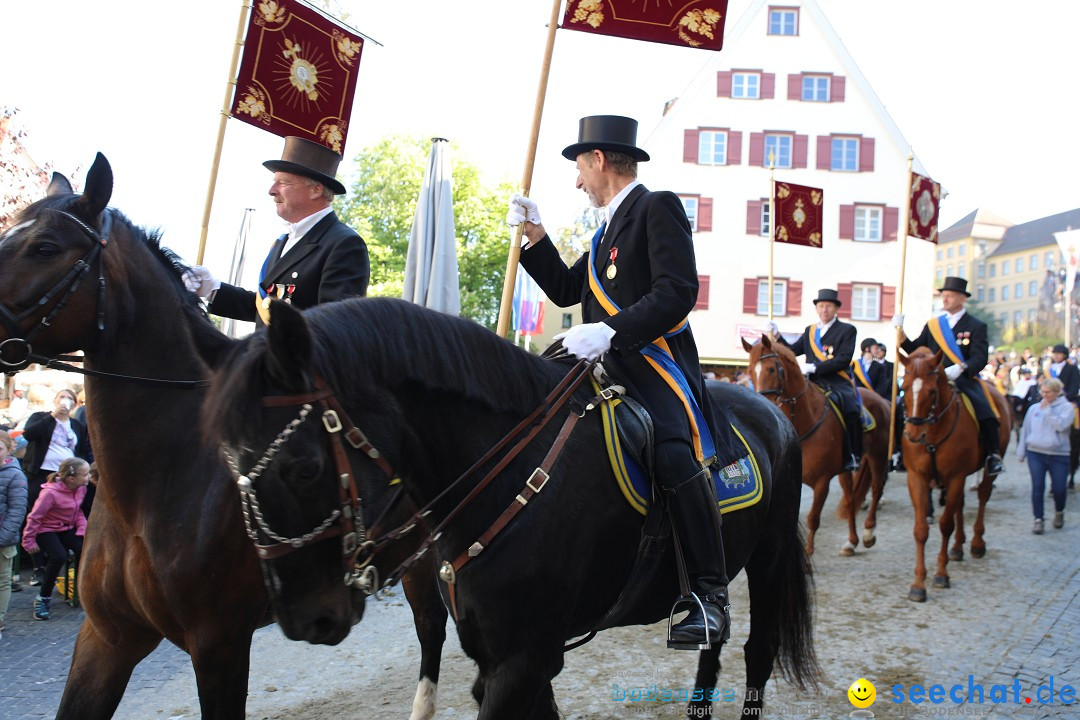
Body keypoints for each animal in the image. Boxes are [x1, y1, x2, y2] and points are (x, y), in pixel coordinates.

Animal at [198, 297, 819, 718]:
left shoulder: (525, 658)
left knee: (757, 651)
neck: (508, 470)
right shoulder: (496, 654)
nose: (305, 620)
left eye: (303, 467)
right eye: (225, 463)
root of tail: (772, 413)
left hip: (767, 562)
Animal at [743, 334, 891, 556]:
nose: (760, 401)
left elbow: (813, 518)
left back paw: (868, 533)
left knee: (876, 488)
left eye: (771, 369)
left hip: (878, 454)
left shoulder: (822, 482)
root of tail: (881, 400)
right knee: (850, 499)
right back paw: (851, 542)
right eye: (751, 370)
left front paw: (809, 550)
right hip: (846, 468)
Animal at [898, 348, 1011, 602]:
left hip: (987, 468)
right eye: (904, 387)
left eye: (932, 391)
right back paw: (958, 548)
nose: (913, 434)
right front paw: (918, 584)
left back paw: (977, 543)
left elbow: (945, 525)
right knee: (959, 504)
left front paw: (941, 574)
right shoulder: (917, 478)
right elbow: (921, 530)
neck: (932, 432)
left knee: (982, 496)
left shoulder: (956, 476)